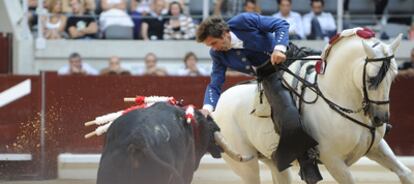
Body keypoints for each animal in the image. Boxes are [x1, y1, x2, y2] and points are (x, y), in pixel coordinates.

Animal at [213, 28, 414, 183]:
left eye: (394, 75)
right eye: (372, 79)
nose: (381, 118)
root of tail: (217, 105)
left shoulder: (376, 147)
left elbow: (405, 173)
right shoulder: (333, 160)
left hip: (275, 161)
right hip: (246, 166)